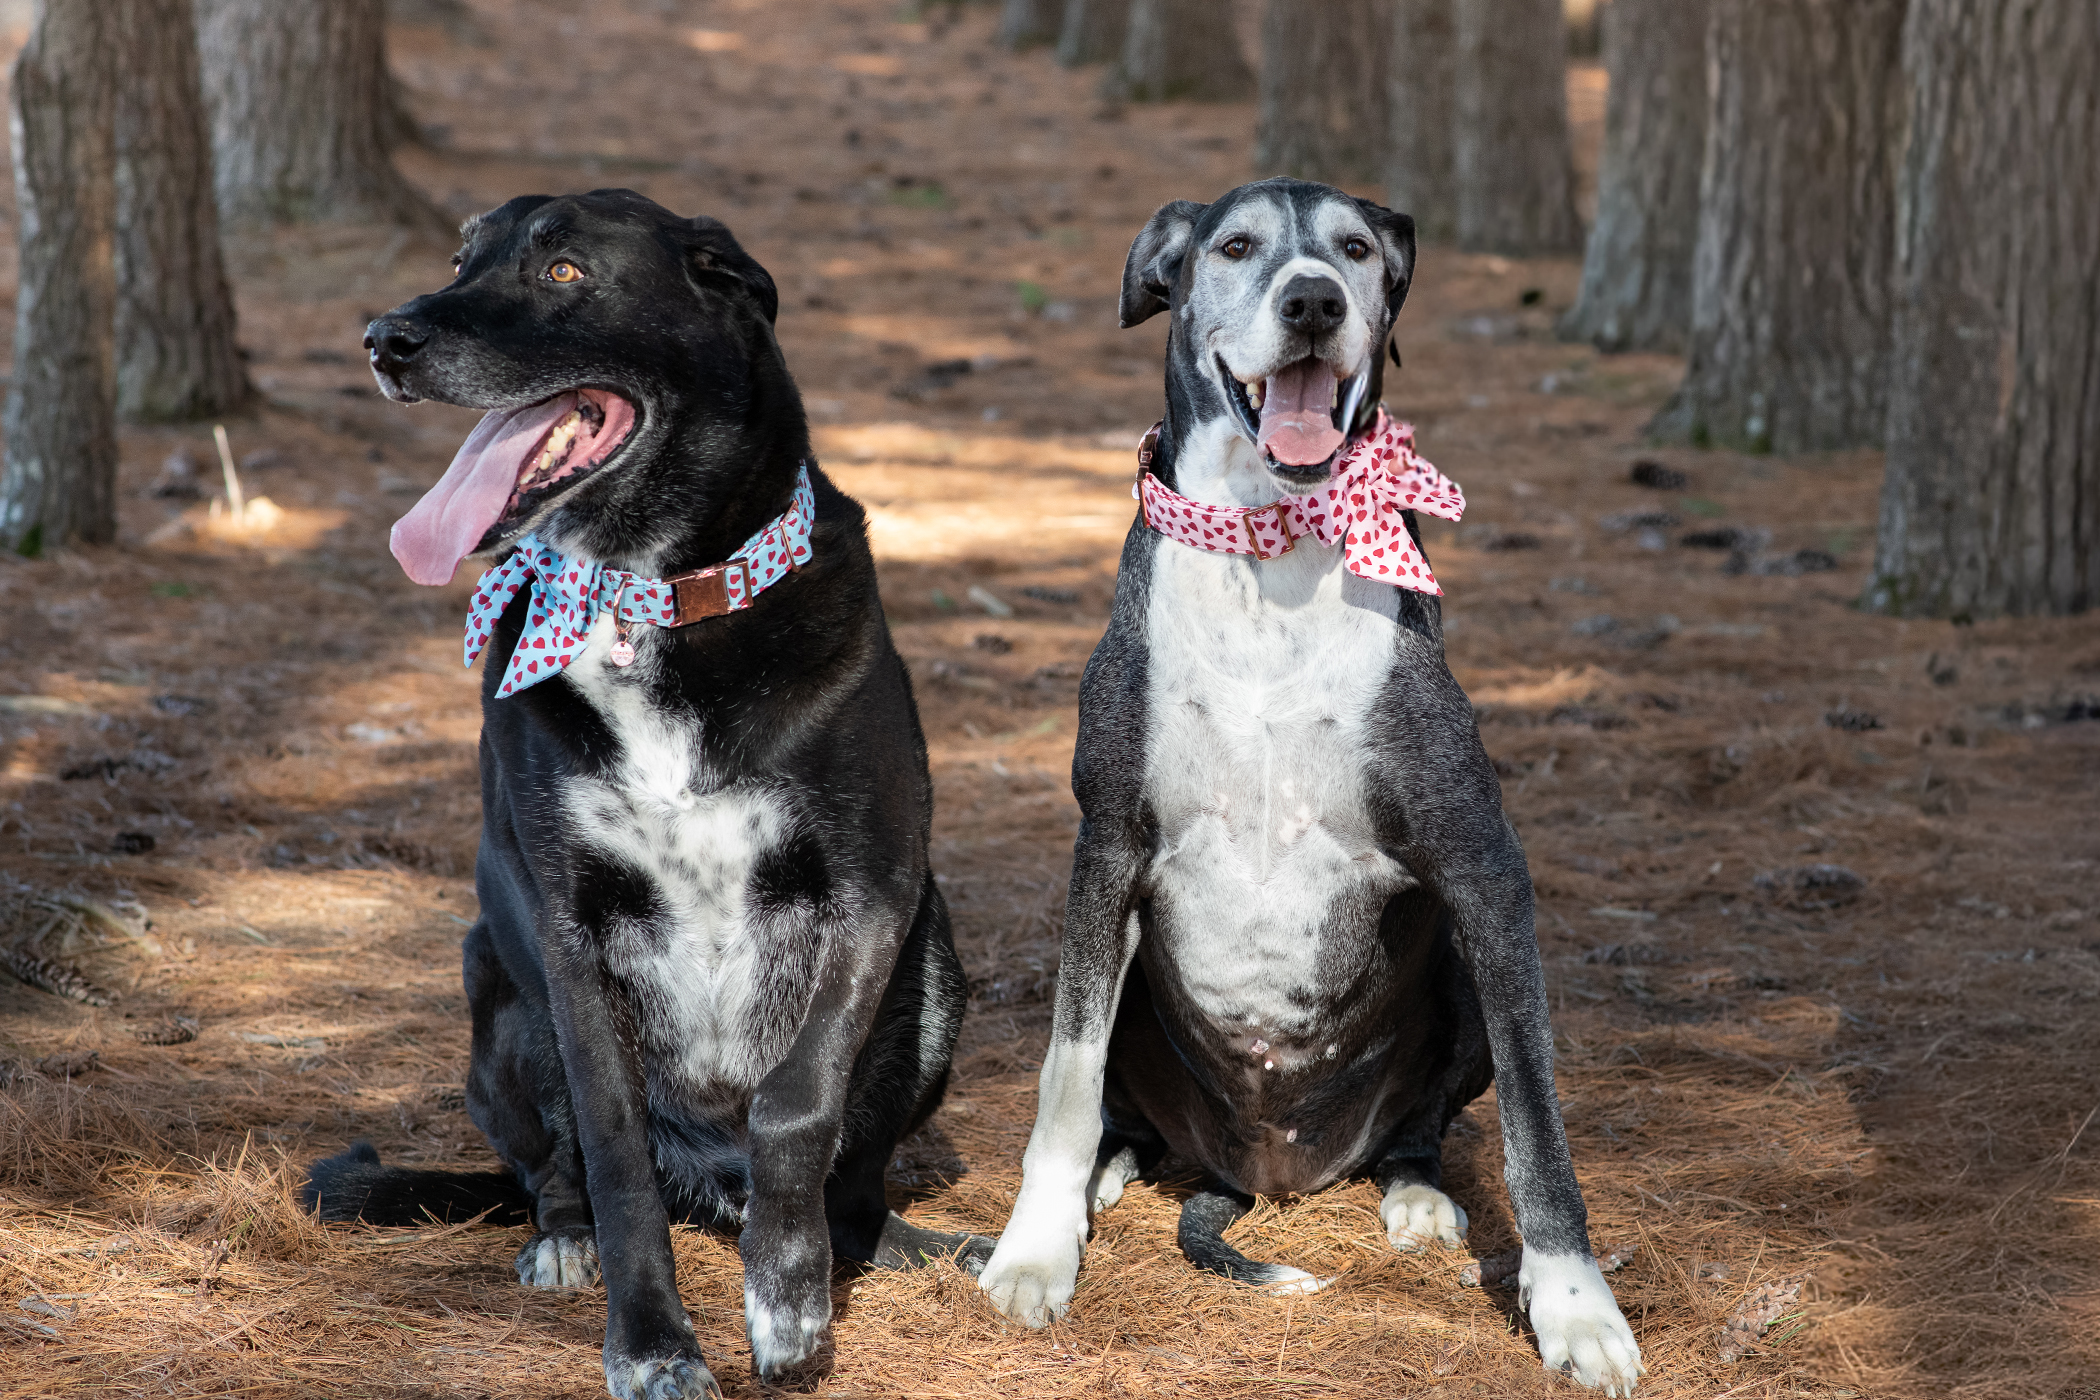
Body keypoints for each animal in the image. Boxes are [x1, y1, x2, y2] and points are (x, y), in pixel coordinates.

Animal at [302, 189, 987, 1400]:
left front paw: (789, 1298)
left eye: (567, 269)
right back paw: (563, 1238)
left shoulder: (874, 889)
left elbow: (797, 1102)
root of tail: (704, 1177)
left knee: (852, 1189)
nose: (386, 339)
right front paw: (655, 1343)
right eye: (461, 257)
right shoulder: (567, 930)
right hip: (492, 979)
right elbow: (611, 1142)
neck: (642, 595)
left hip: (939, 961)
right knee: (552, 1170)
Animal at [976, 178, 1644, 1395]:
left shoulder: (1484, 867)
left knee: (1422, 1128)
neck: (1269, 546)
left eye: (1356, 249)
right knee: (1113, 1099)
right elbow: (1064, 1075)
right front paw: (1035, 1252)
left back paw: (1419, 1194)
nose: (1314, 302)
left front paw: (1575, 1309)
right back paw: (1114, 1169)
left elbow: (1537, 1122)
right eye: (1238, 246)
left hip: (1456, 985)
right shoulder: (1107, 849)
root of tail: (1262, 1175)